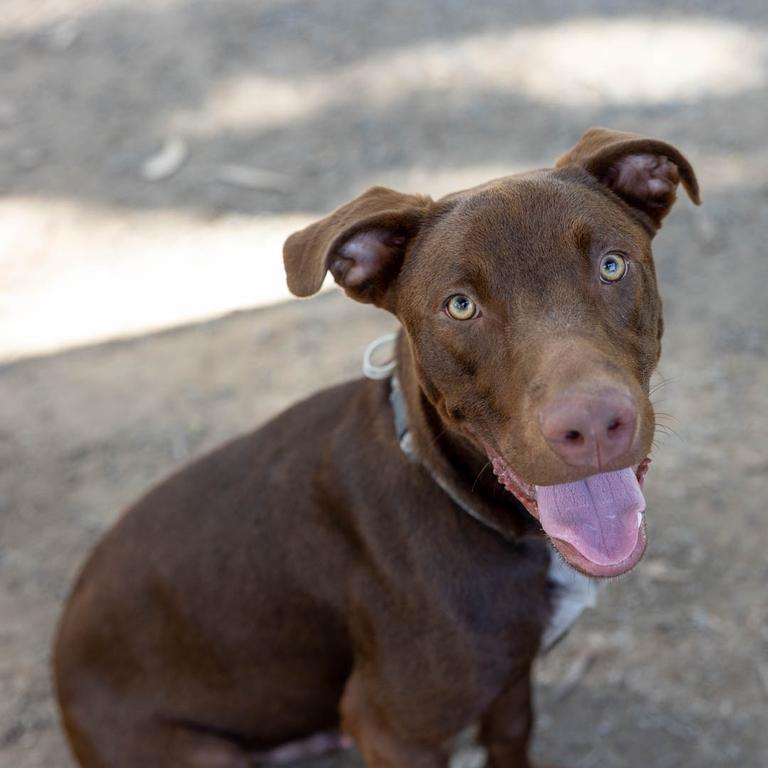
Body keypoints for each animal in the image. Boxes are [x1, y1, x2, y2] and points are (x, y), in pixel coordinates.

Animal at [54, 129, 704, 764]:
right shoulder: (394, 731)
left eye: (612, 266)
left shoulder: (509, 685)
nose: (593, 425)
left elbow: (511, 735)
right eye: (460, 305)